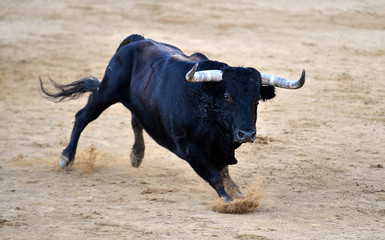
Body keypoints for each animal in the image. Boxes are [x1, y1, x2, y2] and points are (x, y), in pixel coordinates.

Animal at [39, 34, 304, 202]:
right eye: (228, 96)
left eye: (257, 99)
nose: (247, 134)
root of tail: (137, 39)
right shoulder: (188, 147)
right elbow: (214, 175)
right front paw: (229, 201)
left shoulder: (222, 146)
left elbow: (225, 170)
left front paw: (237, 191)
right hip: (107, 90)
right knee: (83, 116)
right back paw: (67, 157)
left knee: (135, 119)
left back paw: (137, 155)